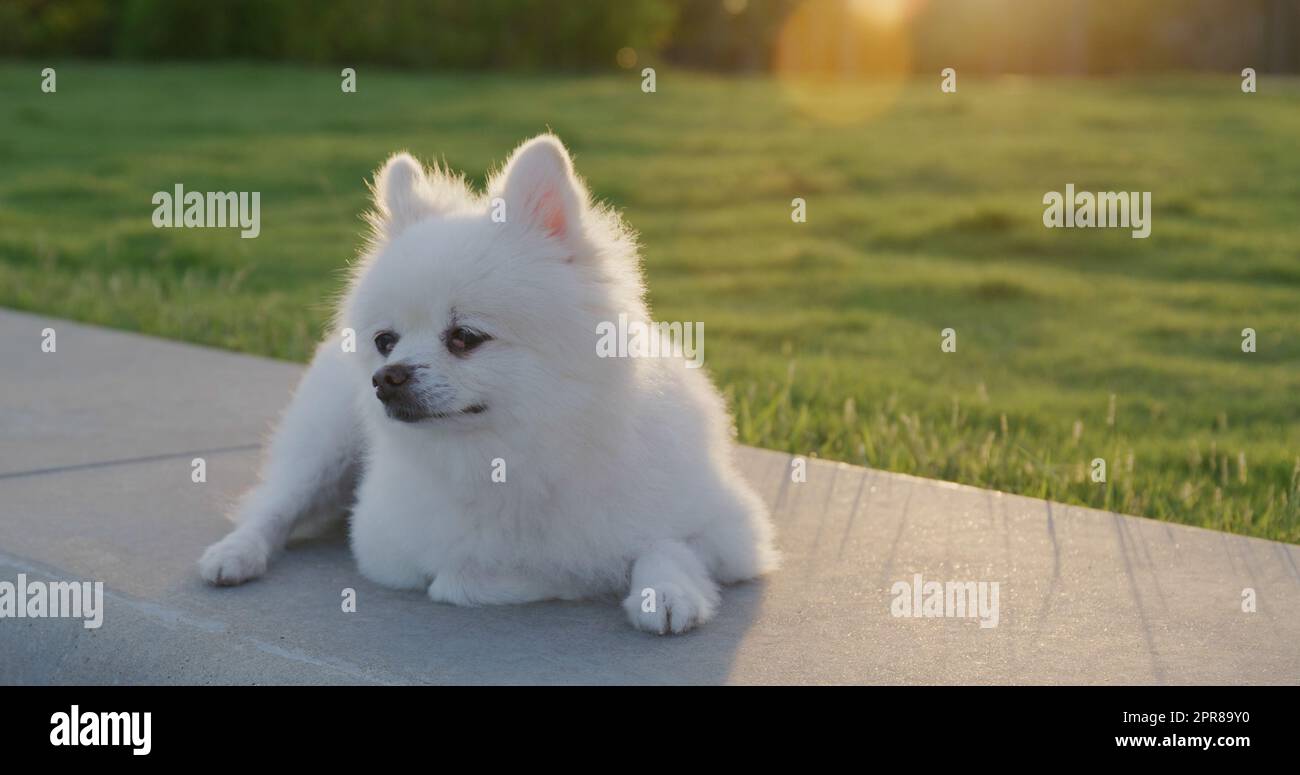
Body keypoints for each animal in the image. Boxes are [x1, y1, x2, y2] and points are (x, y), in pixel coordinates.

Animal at [197, 133, 774, 631]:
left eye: (464, 337)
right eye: (385, 340)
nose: (386, 377)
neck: (515, 455)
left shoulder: (736, 530)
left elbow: (669, 542)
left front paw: (667, 590)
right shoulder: (389, 548)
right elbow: (467, 577)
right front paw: (568, 576)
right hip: (324, 449)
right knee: (274, 506)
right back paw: (236, 553)